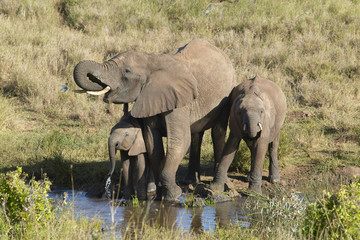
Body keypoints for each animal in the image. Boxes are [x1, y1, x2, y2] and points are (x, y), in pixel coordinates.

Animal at [73, 39, 236, 201]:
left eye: (127, 71)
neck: (149, 60)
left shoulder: (179, 101)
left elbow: (179, 140)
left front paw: (174, 195)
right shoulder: (149, 98)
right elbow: (152, 143)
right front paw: (160, 194)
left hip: (226, 95)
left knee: (217, 131)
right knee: (197, 134)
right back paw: (190, 181)